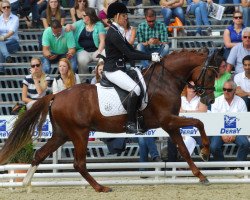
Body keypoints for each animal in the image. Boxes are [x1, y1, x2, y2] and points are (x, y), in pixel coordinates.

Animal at [0, 48, 221, 192]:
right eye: (210, 75)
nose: (209, 100)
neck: (165, 81)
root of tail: (56, 95)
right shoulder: (168, 120)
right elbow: (199, 123)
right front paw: (205, 152)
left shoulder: (170, 125)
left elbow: (184, 149)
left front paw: (201, 175)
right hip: (79, 133)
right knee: (78, 164)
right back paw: (101, 187)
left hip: (62, 134)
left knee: (40, 154)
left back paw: (25, 184)